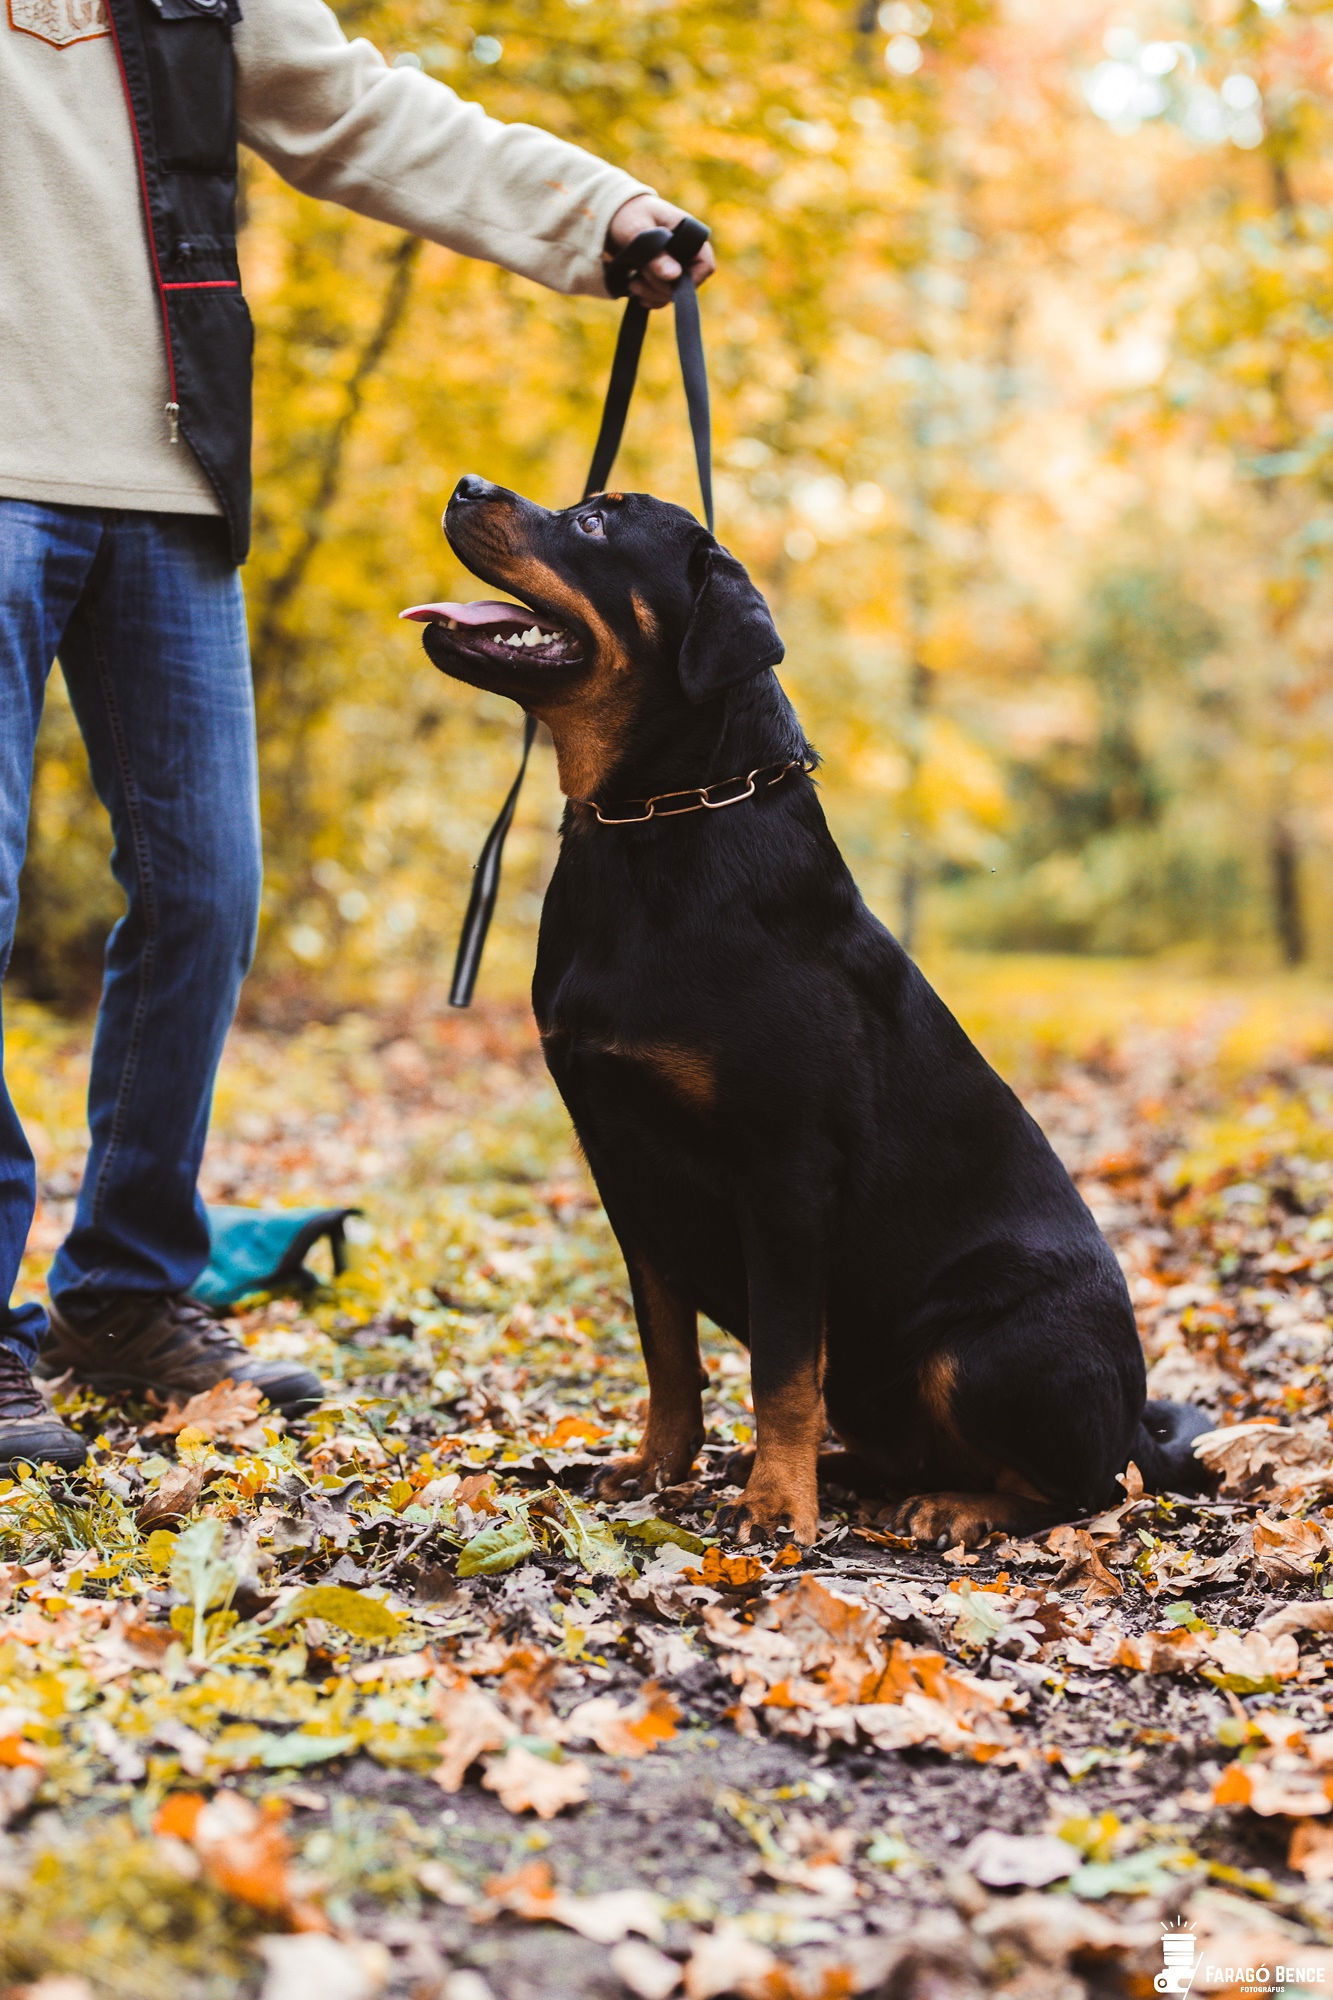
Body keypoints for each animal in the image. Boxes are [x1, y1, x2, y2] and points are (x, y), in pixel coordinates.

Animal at [400, 480, 1200, 1544]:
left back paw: (950, 1504)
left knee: (1087, 1485)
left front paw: (778, 1506)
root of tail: (1136, 1420)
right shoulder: (621, 1162)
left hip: (990, 1347)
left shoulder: (782, 1166)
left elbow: (781, 1360)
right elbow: (667, 1349)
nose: (465, 488)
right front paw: (660, 1466)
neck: (653, 826)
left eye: (595, 522)